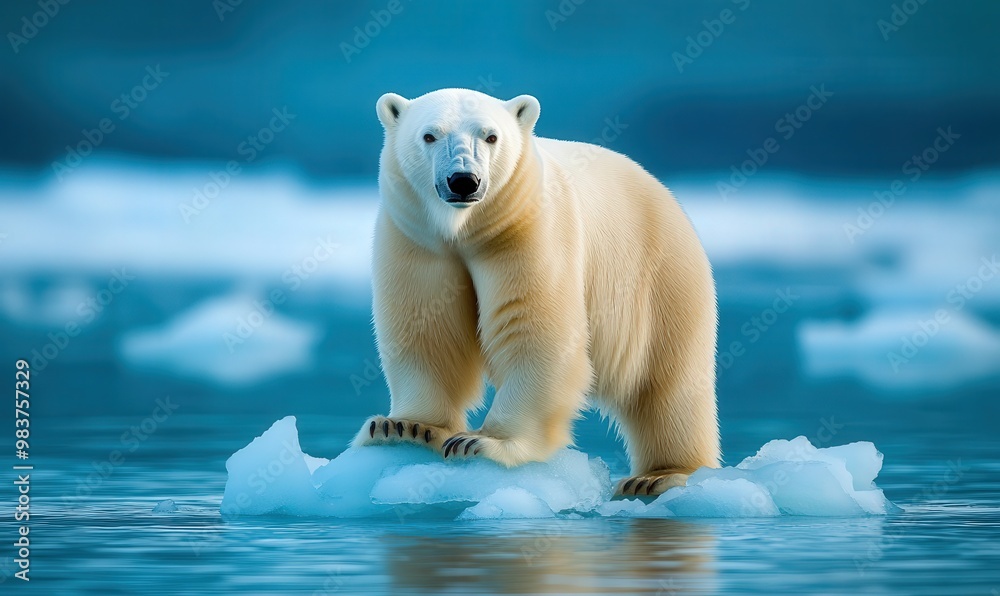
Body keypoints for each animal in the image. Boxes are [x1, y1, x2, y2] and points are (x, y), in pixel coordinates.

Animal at [353, 88, 720, 497]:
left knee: (668, 382)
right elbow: (427, 330)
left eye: (490, 136)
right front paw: (405, 427)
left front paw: (482, 441)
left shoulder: (526, 233)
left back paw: (657, 476)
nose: (464, 181)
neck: (466, 231)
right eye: (429, 135)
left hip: (660, 280)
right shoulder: (418, 241)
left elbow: (535, 333)